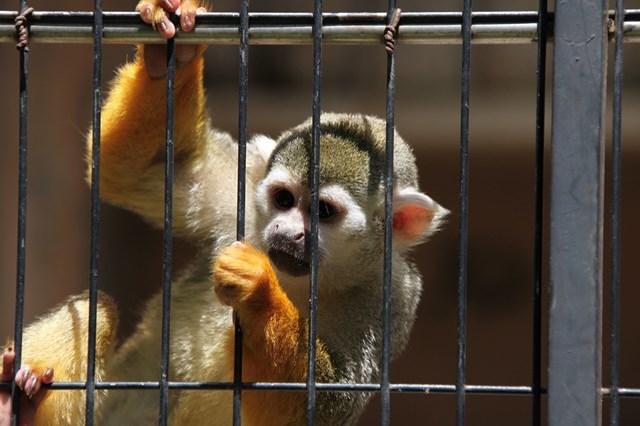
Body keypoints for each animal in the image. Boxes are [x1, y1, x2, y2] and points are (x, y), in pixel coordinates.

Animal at [2, 0, 448, 426]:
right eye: (283, 200)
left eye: (323, 211)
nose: (289, 231)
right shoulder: (239, 196)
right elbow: (136, 173)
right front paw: (171, 44)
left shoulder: (392, 294)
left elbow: (324, 402)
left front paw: (258, 291)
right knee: (94, 309)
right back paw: (18, 404)